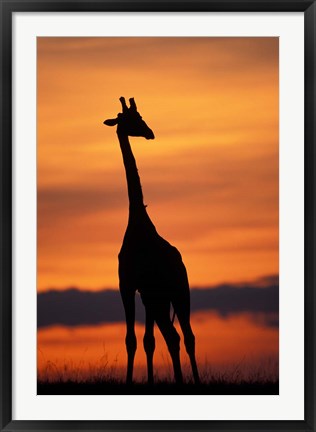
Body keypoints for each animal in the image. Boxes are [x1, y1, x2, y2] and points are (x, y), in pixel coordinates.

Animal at [104, 98, 200, 384]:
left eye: (141, 116)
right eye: (131, 119)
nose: (150, 132)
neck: (138, 222)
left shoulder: (135, 286)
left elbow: (139, 340)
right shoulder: (135, 288)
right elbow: (141, 340)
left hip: (176, 291)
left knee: (182, 336)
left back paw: (188, 380)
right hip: (165, 295)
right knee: (177, 336)